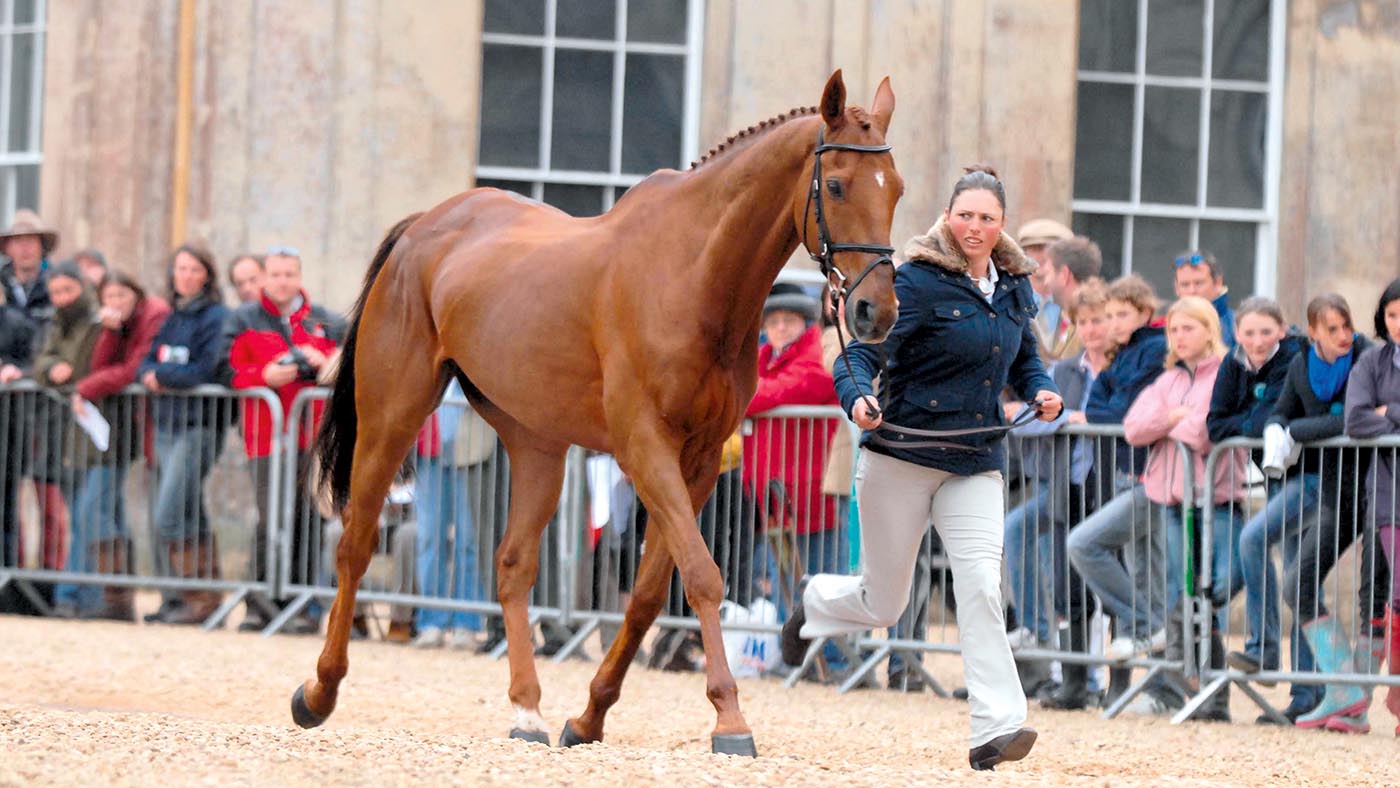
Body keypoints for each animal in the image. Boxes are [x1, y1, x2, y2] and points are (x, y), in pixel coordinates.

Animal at [294, 72, 901, 755]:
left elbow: (648, 592)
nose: (878, 311)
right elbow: (702, 575)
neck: (692, 275)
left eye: (897, 188)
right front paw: (730, 719)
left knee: (512, 565)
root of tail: (425, 225)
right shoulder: (646, 448)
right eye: (836, 185)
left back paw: (527, 710)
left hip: (536, 443)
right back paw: (319, 690)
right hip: (392, 415)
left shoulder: (697, 461)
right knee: (356, 544)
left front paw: (589, 716)